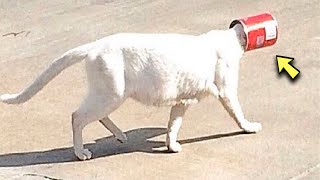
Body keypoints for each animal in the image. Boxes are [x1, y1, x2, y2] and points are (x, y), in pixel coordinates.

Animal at [0, 23, 262, 160]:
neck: (231, 39)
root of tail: (96, 45)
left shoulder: (182, 101)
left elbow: (173, 125)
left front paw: (171, 146)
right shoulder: (226, 90)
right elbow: (238, 113)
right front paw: (250, 127)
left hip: (108, 94)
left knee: (94, 116)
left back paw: (120, 135)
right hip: (112, 95)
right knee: (77, 117)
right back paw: (81, 152)